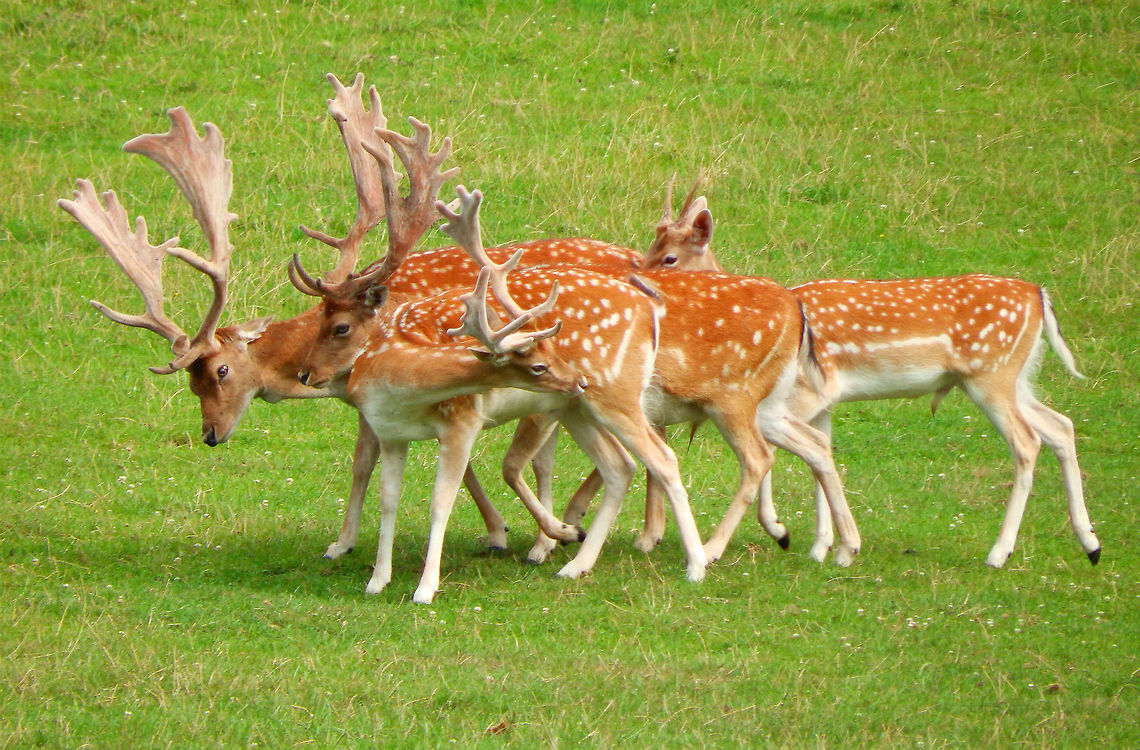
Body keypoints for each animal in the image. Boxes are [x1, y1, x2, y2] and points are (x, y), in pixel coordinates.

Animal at [638, 177, 1101, 568]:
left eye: (669, 256)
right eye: (650, 246)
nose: (638, 277)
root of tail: (1039, 297)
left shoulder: (802, 394)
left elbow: (788, 456)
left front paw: (784, 531)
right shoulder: (821, 401)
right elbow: (820, 454)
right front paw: (822, 545)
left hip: (992, 376)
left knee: (1027, 442)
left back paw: (999, 552)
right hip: (1017, 378)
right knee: (1061, 426)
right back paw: (1090, 543)